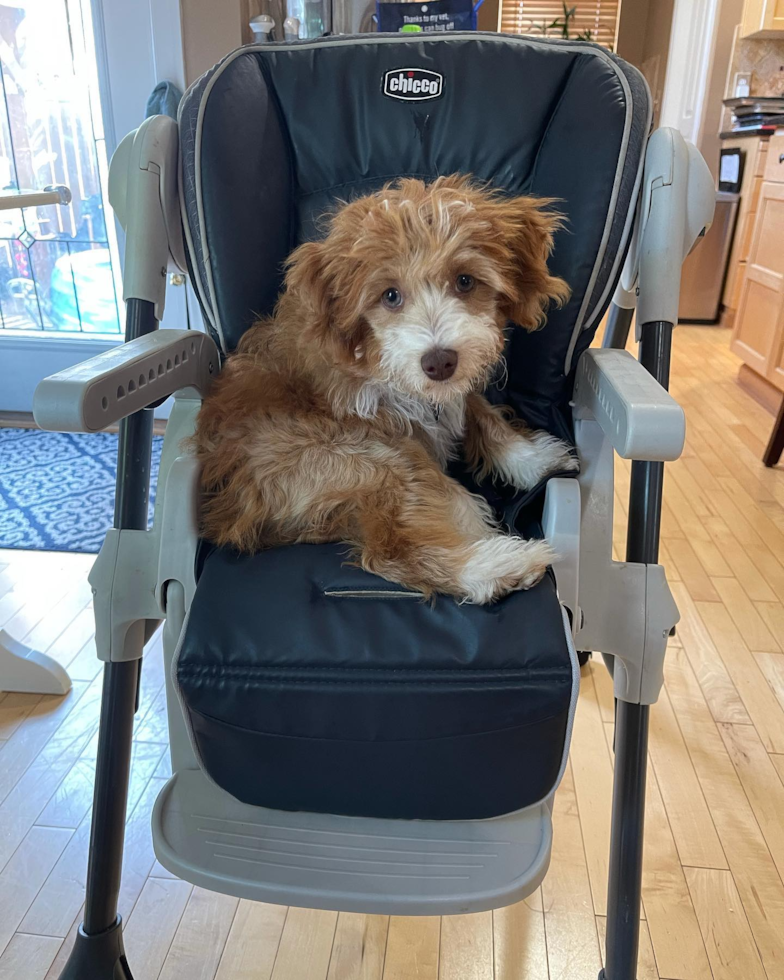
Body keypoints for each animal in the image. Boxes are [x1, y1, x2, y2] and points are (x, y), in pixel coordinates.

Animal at [194, 177, 580, 604]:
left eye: (465, 281)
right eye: (390, 295)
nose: (439, 361)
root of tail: (229, 512)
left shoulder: (451, 393)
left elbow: (485, 417)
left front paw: (535, 460)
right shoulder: (377, 427)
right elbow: (446, 491)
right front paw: (476, 519)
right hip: (360, 458)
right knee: (397, 549)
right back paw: (497, 565)